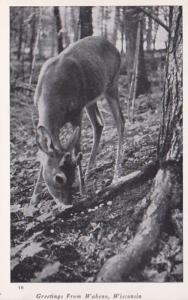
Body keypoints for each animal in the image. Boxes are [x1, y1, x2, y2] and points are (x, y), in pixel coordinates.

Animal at [30, 36, 125, 207]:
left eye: (72, 175)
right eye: (59, 178)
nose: (67, 203)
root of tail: (114, 47)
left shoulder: (76, 112)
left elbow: (77, 148)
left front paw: (83, 190)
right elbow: (43, 154)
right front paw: (33, 198)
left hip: (112, 84)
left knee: (120, 121)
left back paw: (116, 174)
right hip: (90, 99)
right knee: (99, 124)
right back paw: (89, 171)